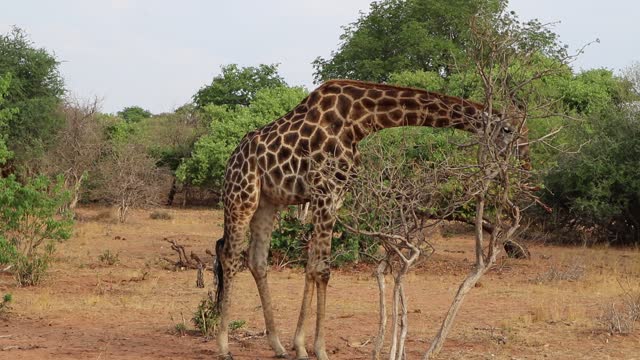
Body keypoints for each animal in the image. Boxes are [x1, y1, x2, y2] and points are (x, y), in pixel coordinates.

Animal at [214, 79, 524, 360]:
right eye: (507, 129)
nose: (516, 155)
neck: (359, 121)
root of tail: (232, 159)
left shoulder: (335, 195)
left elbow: (311, 267)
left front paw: (300, 346)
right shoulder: (325, 191)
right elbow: (323, 270)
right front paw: (320, 350)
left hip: (269, 203)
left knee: (257, 260)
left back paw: (277, 346)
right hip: (242, 195)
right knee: (230, 255)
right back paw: (224, 347)